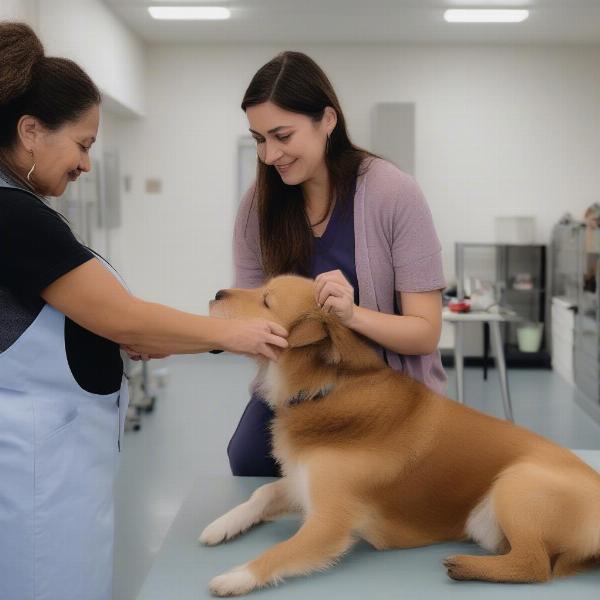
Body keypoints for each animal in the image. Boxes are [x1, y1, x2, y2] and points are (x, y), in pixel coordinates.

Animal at [200, 276, 600, 596]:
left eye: (267, 300)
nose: (216, 293)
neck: (327, 389)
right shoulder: (304, 483)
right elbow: (262, 493)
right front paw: (222, 525)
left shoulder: (330, 521)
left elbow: (278, 553)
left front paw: (236, 576)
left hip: (516, 484)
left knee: (534, 565)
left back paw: (464, 566)